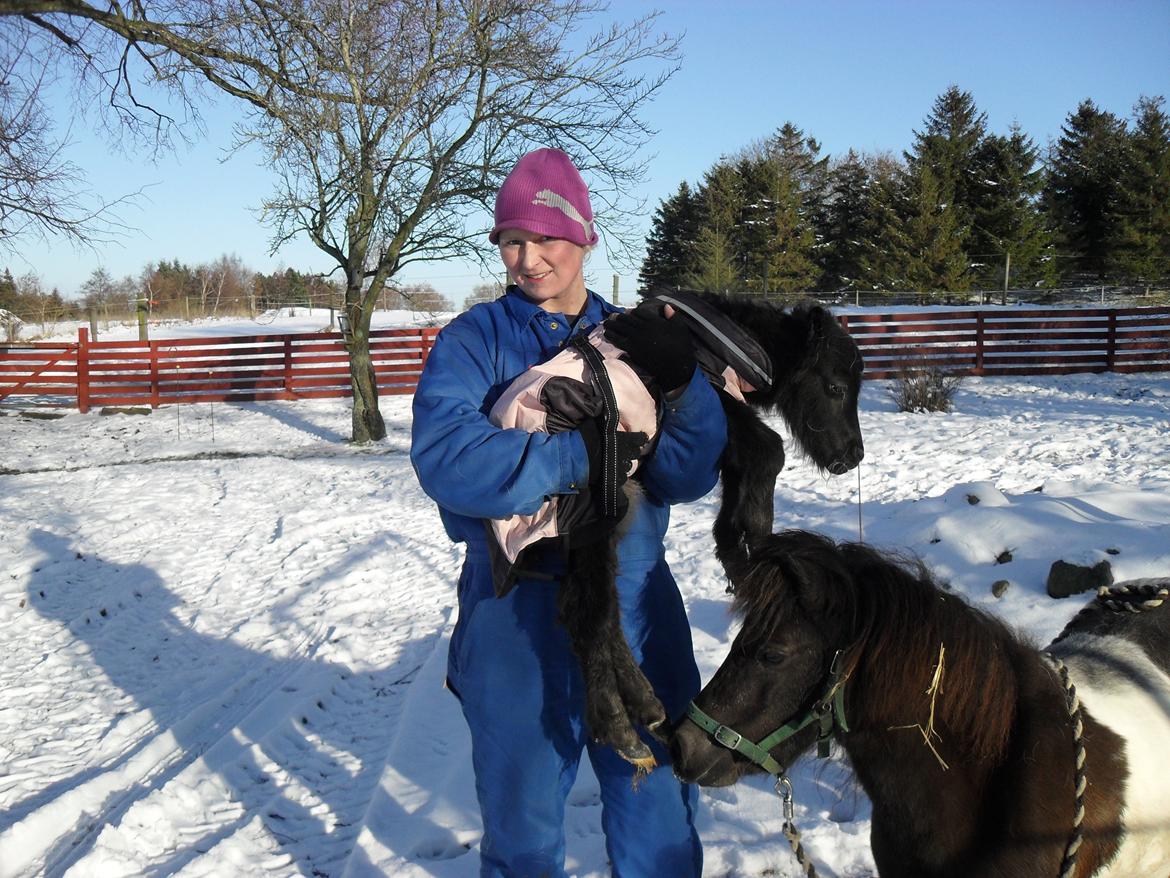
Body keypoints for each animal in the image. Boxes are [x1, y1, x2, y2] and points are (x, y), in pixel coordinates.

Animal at [526, 293, 865, 767]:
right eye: (835, 388)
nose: (853, 456)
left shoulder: (722, 432)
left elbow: (739, 476)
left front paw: (736, 555)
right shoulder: (722, 405)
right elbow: (769, 452)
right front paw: (756, 550)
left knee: (595, 609)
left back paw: (645, 708)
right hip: (596, 520)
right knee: (589, 612)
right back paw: (618, 726)